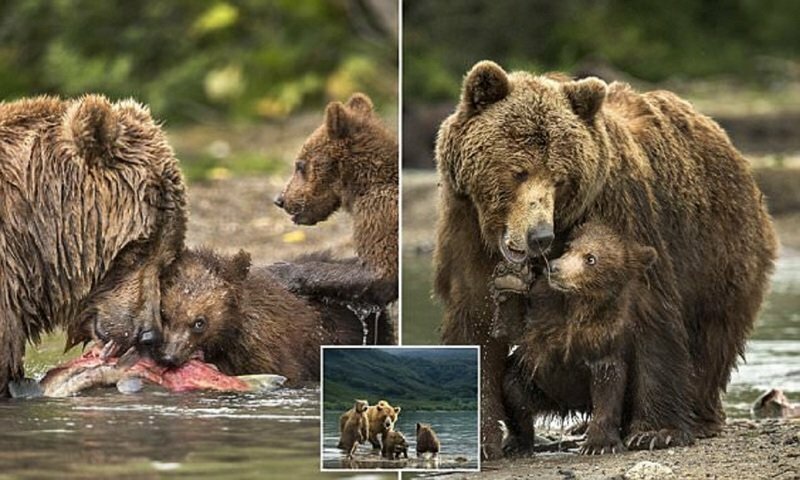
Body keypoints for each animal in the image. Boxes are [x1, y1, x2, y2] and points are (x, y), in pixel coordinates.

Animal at [500, 221, 664, 454]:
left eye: (591, 258)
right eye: (569, 247)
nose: (555, 267)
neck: (578, 303)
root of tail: (568, 405)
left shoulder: (604, 339)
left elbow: (608, 386)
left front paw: (600, 444)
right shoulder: (542, 314)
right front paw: (511, 281)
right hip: (536, 385)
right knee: (513, 391)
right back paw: (518, 443)